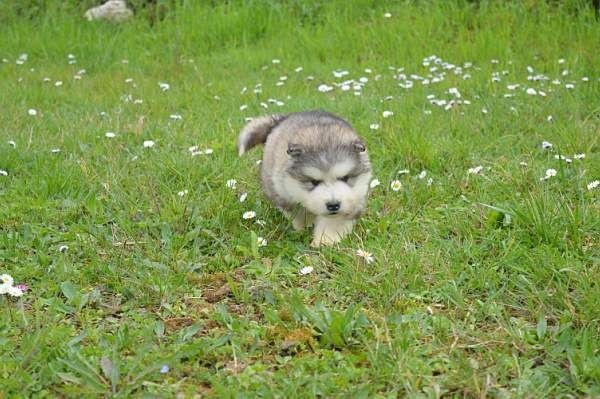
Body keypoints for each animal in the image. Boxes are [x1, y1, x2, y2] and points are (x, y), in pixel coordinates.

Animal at [238, 110, 370, 247]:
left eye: (345, 178)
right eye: (314, 182)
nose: (333, 205)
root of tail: (282, 119)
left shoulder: (355, 197)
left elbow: (334, 222)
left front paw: (325, 241)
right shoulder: (286, 195)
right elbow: (300, 213)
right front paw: (305, 228)